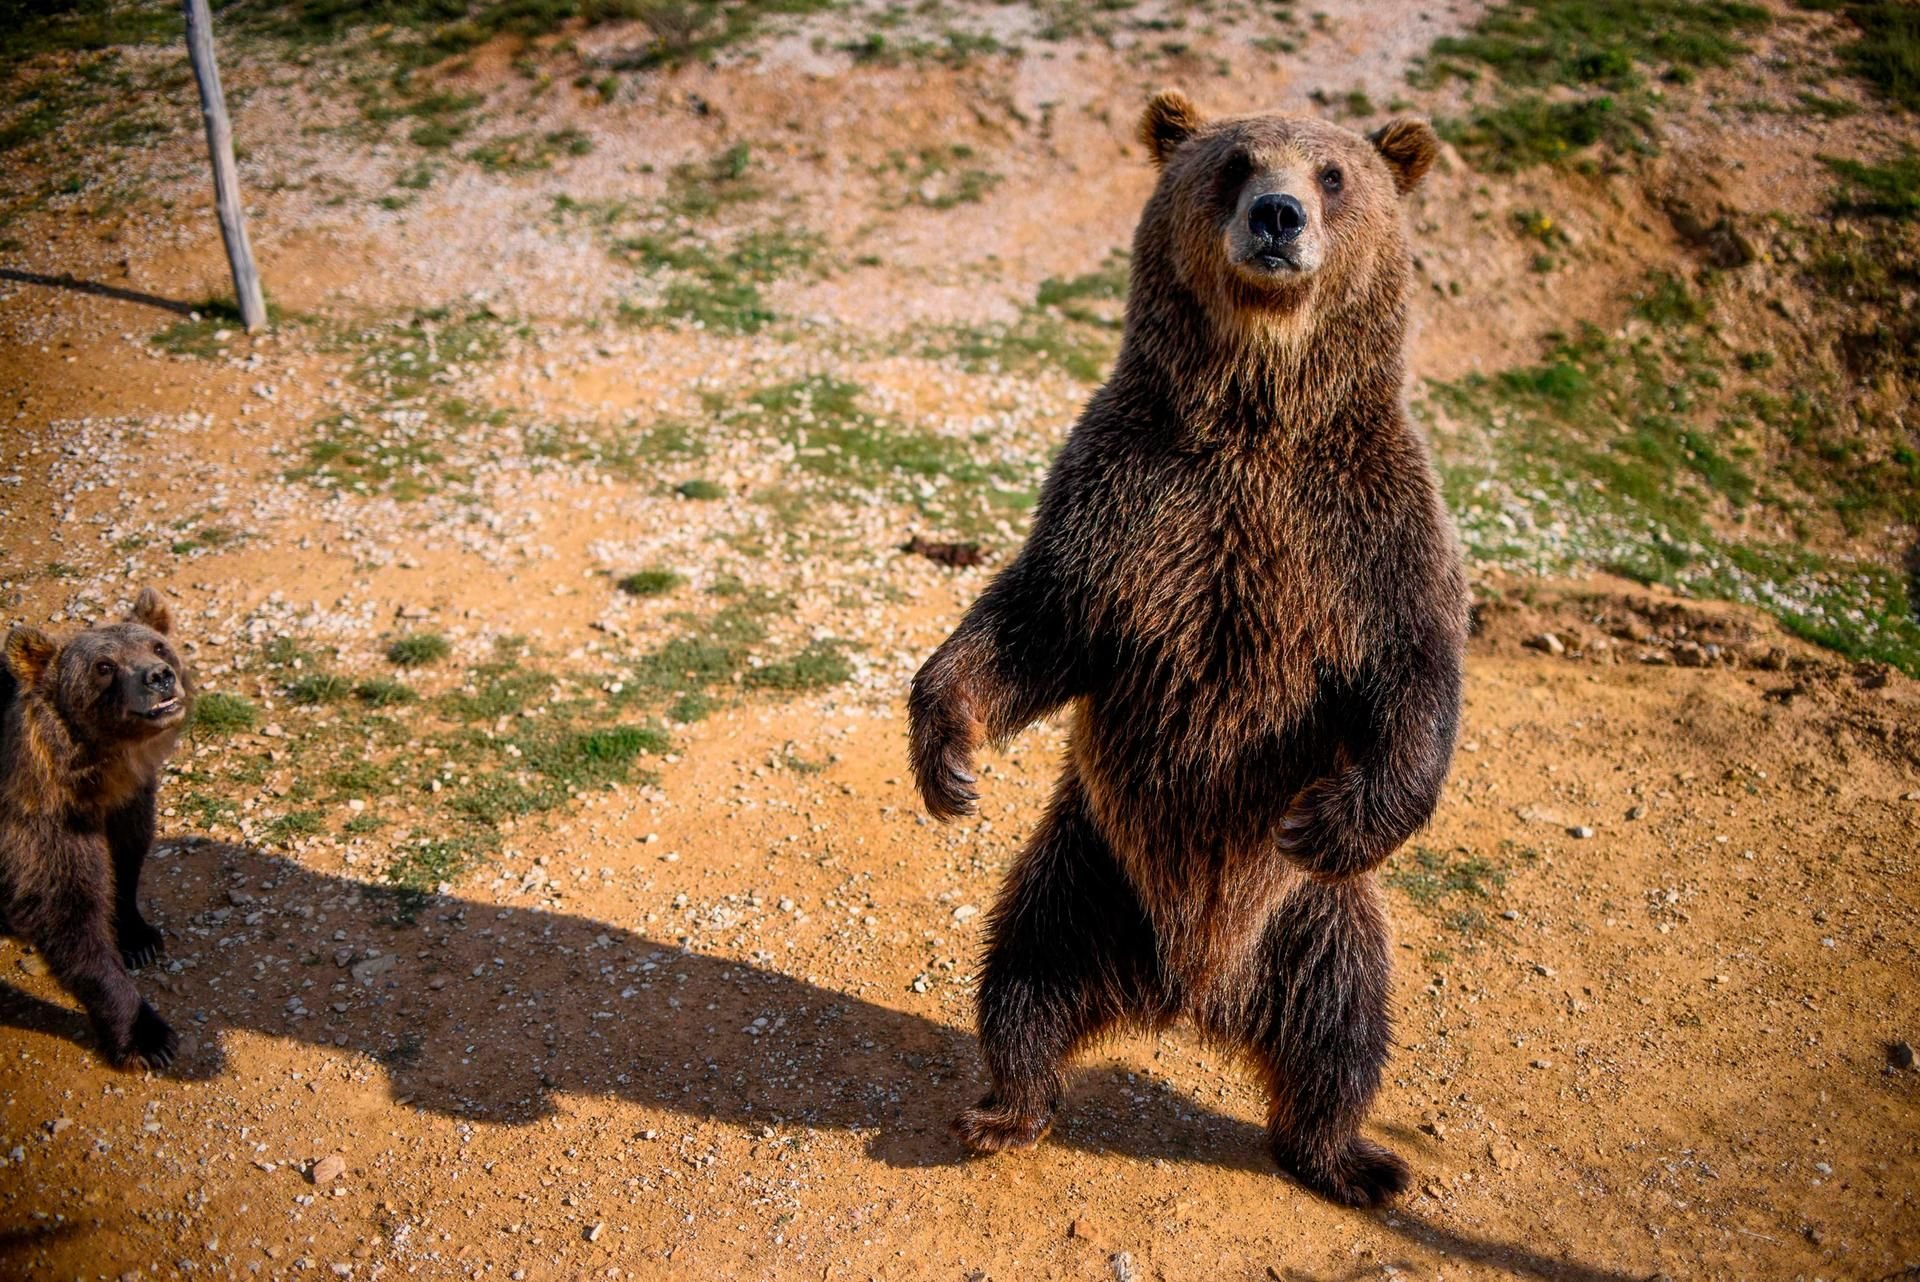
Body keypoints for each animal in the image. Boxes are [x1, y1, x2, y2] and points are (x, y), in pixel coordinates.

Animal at [1, 588, 192, 1069]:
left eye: (157, 646)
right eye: (104, 666)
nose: (159, 677)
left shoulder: (124, 802)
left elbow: (127, 856)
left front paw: (139, 936)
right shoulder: (39, 820)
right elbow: (67, 911)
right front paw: (149, 1038)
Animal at [907, 91, 1465, 1207]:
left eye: (1333, 173)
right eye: (1236, 163)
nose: (1279, 216)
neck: (1255, 417)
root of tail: (1189, 990)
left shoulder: (1366, 526)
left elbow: (1415, 666)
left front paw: (1341, 816)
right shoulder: (1128, 496)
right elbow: (1037, 622)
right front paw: (947, 759)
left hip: (1315, 920)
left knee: (1346, 1025)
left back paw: (1353, 1158)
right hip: (1086, 873)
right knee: (1021, 976)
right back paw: (1006, 1108)